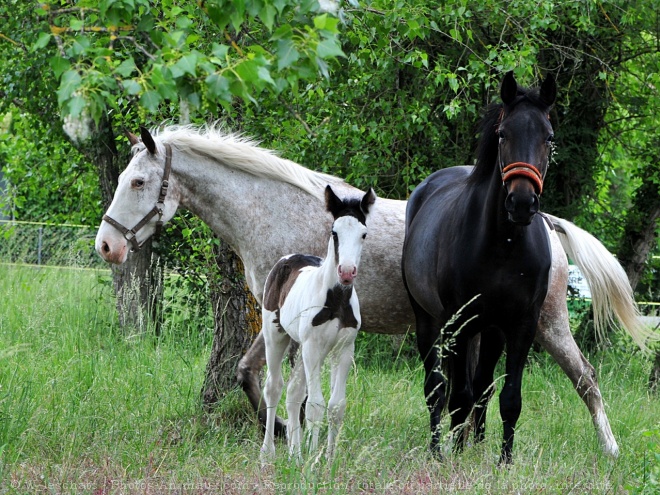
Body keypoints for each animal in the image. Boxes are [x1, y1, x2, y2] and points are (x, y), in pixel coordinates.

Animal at [260, 185, 374, 462]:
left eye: (363, 234)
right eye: (335, 232)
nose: (347, 271)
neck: (336, 300)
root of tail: (287, 258)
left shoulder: (344, 350)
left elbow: (335, 406)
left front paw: (327, 459)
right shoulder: (313, 347)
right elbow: (315, 404)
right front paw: (312, 461)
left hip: (304, 348)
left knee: (293, 392)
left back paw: (295, 453)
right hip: (276, 336)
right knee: (274, 387)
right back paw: (268, 452)